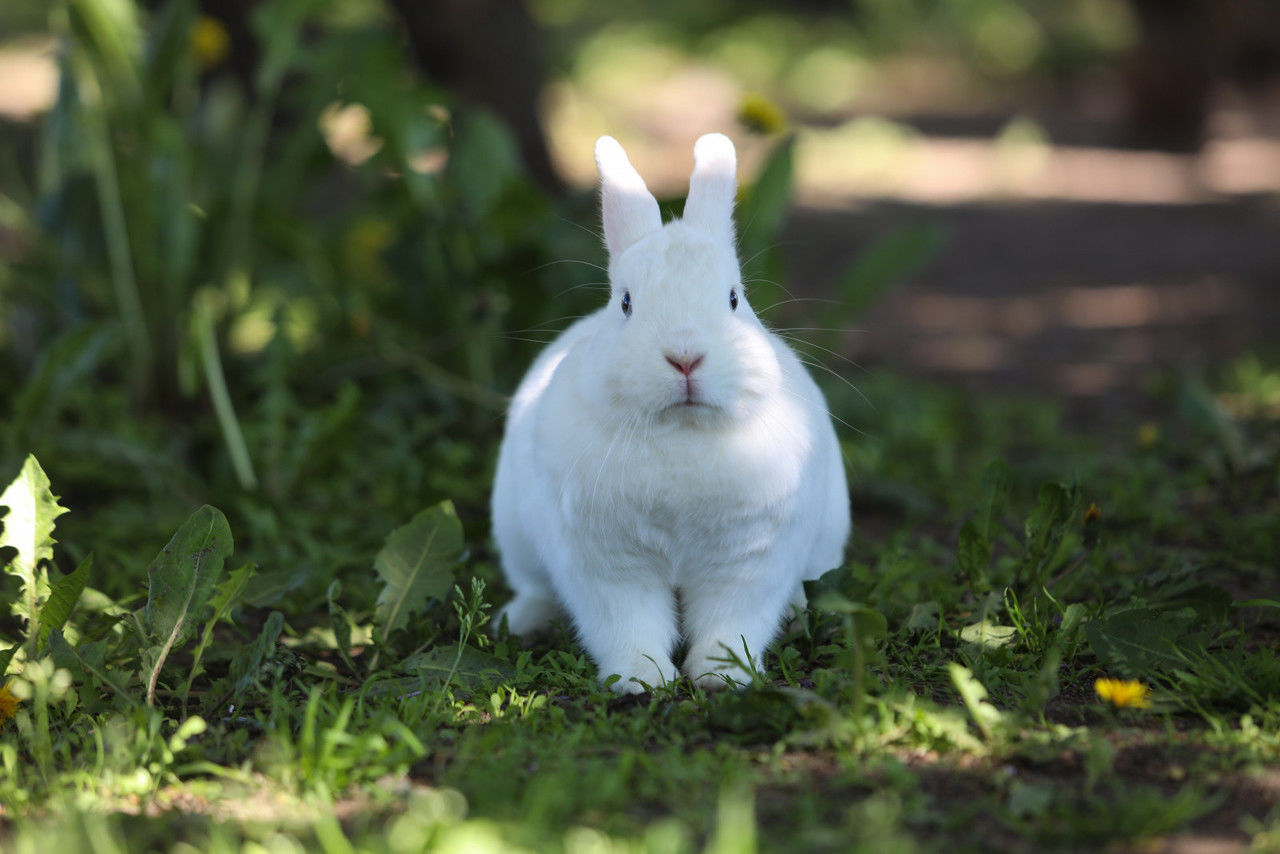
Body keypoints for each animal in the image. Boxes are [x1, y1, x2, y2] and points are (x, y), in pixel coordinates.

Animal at [488, 133, 849, 696]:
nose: (684, 357)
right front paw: (641, 680)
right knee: (536, 587)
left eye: (734, 298)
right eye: (626, 303)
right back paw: (522, 620)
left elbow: (734, 622)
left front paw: (722, 676)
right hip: (517, 541)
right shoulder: (607, 566)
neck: (682, 429)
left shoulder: (751, 562)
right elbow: (626, 624)